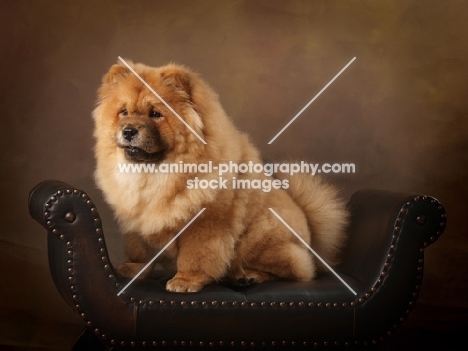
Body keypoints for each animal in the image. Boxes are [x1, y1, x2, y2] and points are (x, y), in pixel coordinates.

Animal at [92, 59, 348, 292]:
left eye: (155, 113)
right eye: (123, 112)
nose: (128, 131)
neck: (156, 173)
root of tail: (311, 237)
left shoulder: (207, 222)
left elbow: (196, 255)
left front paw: (185, 281)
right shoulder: (136, 218)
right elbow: (139, 249)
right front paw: (133, 269)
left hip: (262, 235)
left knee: (294, 270)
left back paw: (246, 276)